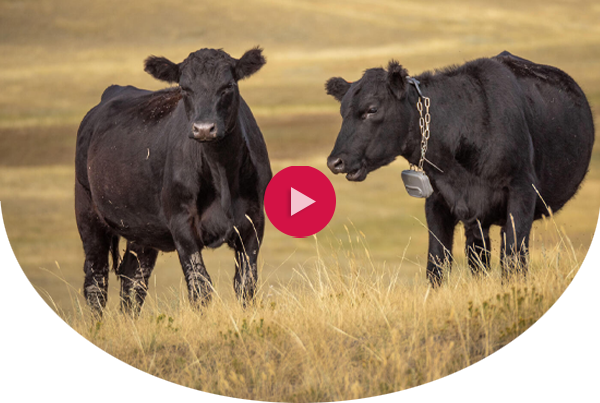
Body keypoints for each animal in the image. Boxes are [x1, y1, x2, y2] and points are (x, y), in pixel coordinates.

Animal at [75, 45, 272, 314]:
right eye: (184, 88)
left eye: (228, 85)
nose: (204, 128)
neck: (220, 171)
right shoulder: (181, 223)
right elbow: (200, 285)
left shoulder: (254, 222)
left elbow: (246, 284)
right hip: (88, 211)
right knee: (96, 281)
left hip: (142, 227)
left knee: (133, 280)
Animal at [326, 50, 592, 286]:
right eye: (342, 112)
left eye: (372, 109)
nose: (334, 161)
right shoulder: (438, 200)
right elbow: (437, 262)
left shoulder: (523, 190)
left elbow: (513, 256)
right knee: (478, 258)